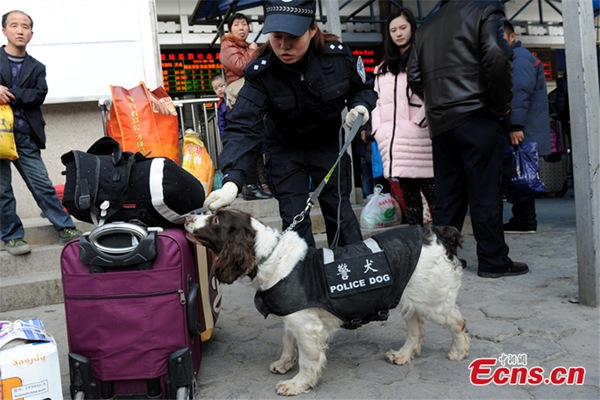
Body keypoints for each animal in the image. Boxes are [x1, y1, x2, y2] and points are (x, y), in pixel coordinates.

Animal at [184, 209, 468, 396]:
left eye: (216, 219)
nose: (186, 218)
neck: (270, 257)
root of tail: (437, 233)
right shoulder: (293, 316)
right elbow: (288, 342)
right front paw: (284, 364)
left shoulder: (307, 326)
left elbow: (308, 359)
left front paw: (297, 384)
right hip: (408, 294)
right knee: (416, 330)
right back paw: (402, 355)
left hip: (433, 301)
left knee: (458, 322)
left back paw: (458, 351)